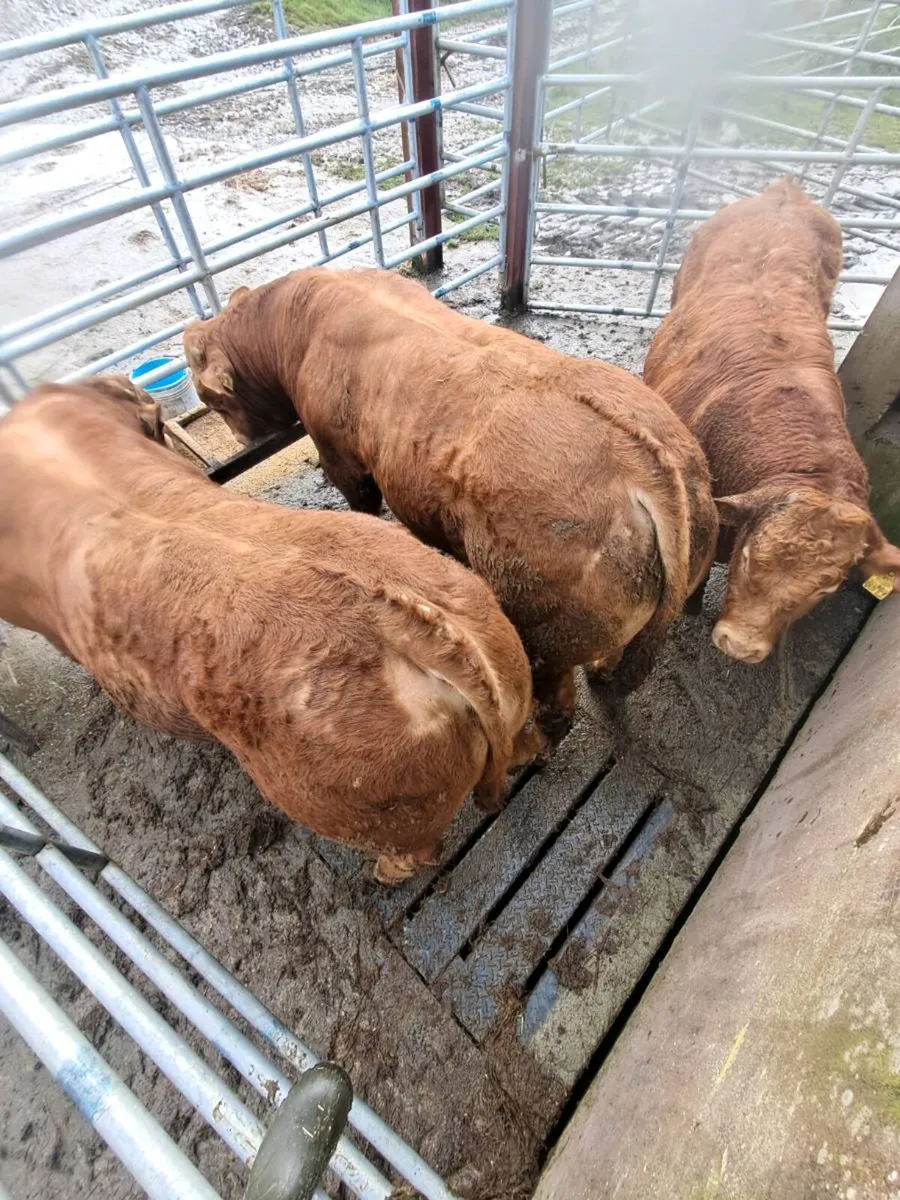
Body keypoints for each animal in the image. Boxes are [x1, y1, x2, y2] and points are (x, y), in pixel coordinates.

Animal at [183, 267, 718, 744]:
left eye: (211, 396)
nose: (243, 440)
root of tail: (646, 466)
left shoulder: (338, 453)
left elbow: (361, 500)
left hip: (543, 626)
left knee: (556, 697)